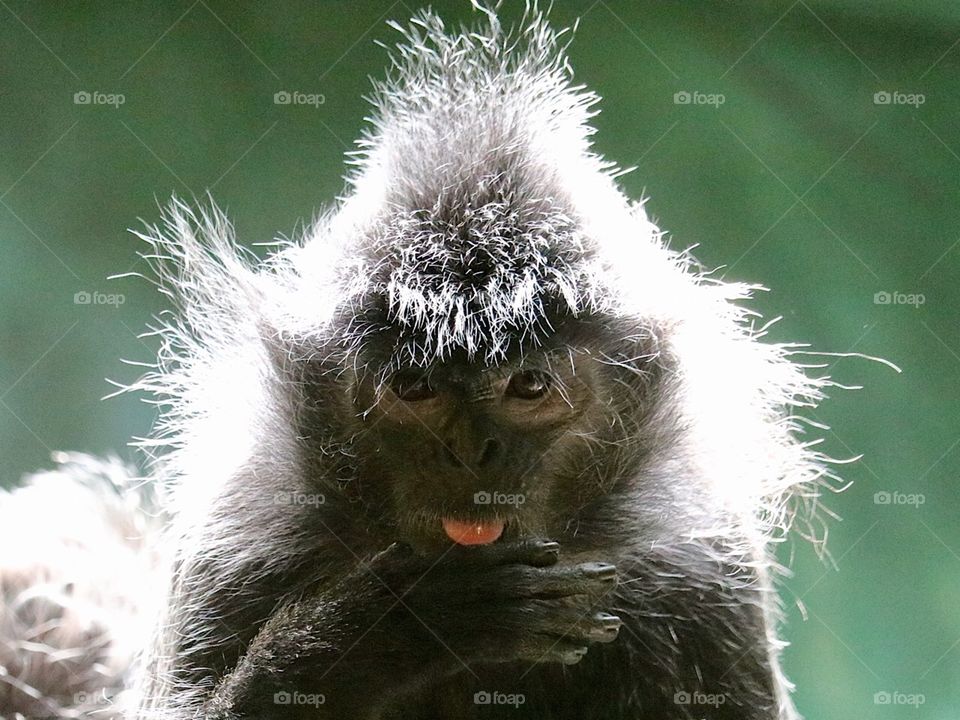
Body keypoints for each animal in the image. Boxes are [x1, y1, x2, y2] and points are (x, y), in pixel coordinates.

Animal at [0, 4, 841, 720]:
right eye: (414, 388)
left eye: (528, 385)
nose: (472, 453)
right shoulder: (240, 537)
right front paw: (388, 631)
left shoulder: (699, 569)